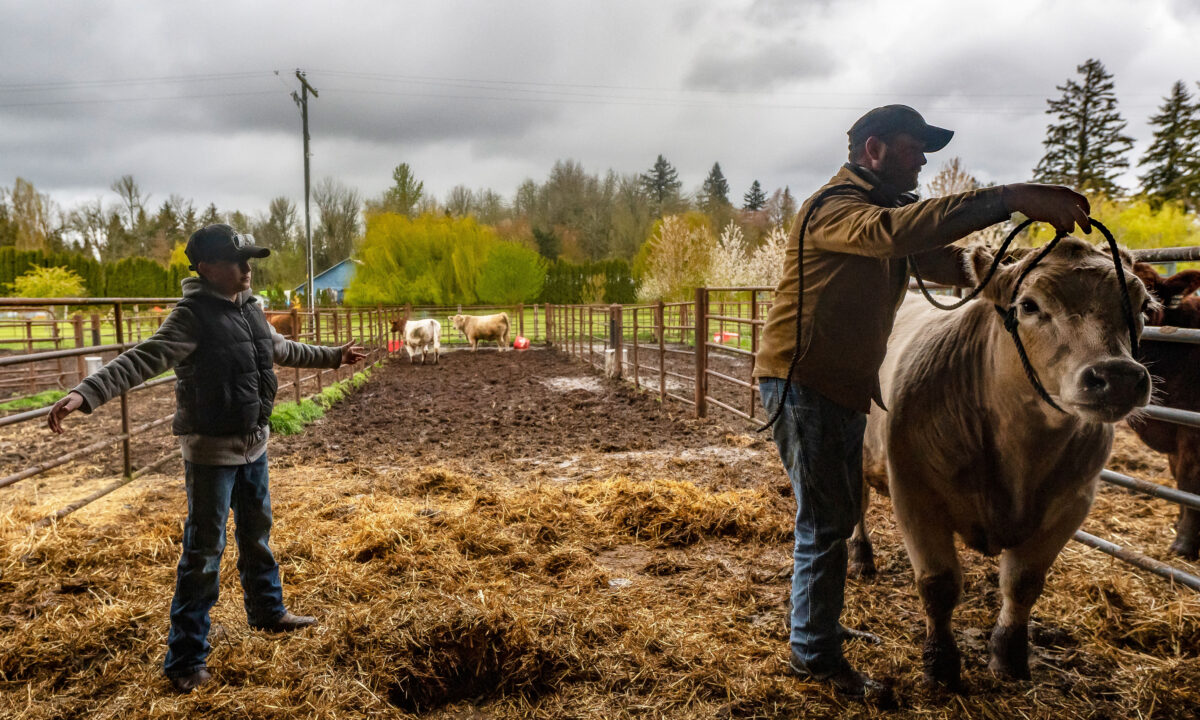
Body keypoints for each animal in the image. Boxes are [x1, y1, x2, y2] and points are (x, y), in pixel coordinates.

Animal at [859, 238, 1147, 691]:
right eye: (1028, 305)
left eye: (1143, 305)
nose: (1117, 376)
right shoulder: (914, 491)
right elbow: (938, 584)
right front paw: (941, 664)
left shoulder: (1073, 502)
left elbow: (1022, 583)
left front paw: (1008, 656)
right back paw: (860, 558)